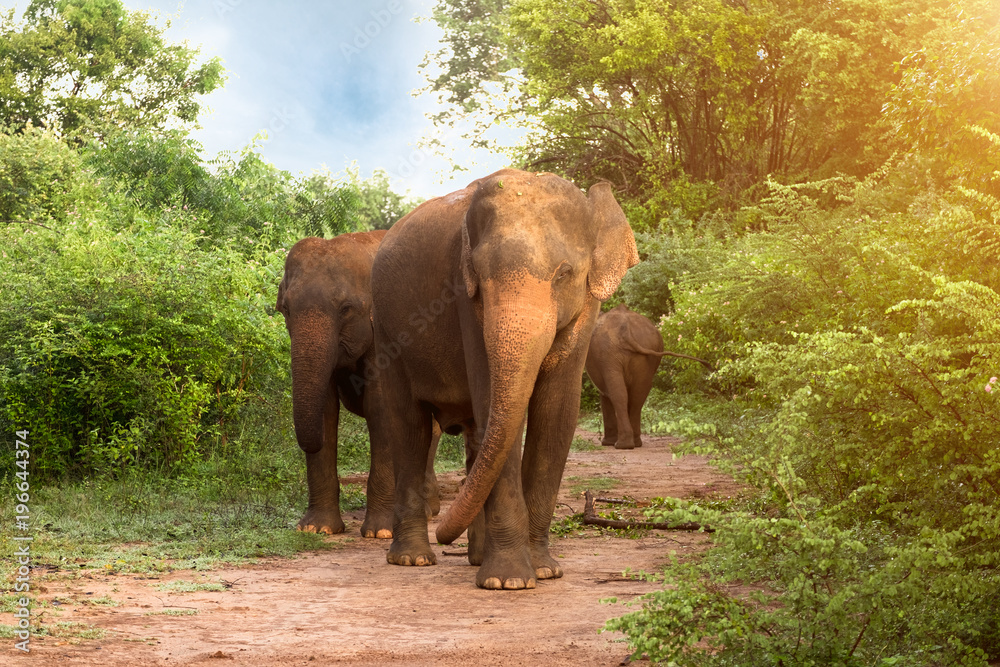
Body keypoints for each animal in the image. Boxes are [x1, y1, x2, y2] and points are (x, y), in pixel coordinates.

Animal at [278, 232, 442, 540]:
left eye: (346, 309)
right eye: (285, 309)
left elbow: (380, 408)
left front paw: (381, 533)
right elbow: (327, 409)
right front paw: (316, 529)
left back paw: (426, 512)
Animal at [364, 168, 636, 588]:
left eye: (564, 274)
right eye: (479, 274)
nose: (445, 534)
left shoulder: (587, 309)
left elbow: (557, 413)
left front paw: (544, 570)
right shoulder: (464, 300)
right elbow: (492, 399)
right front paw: (508, 582)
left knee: (477, 434)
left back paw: (474, 557)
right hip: (387, 332)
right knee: (409, 426)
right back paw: (413, 560)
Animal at [584, 306, 716, 452]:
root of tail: (626, 330)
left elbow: (605, 394)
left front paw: (606, 443)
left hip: (609, 354)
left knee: (619, 394)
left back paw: (622, 445)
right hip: (644, 352)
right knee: (638, 395)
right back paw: (633, 443)